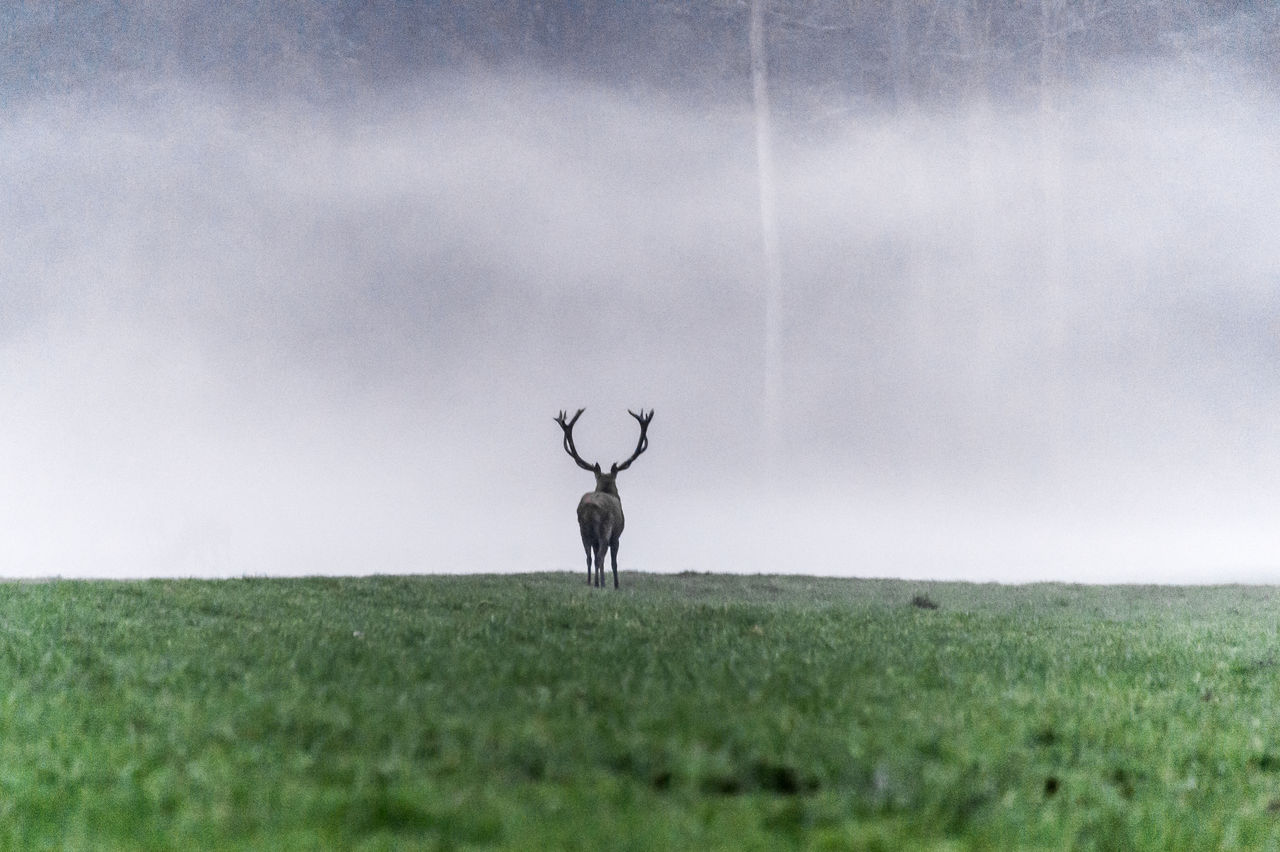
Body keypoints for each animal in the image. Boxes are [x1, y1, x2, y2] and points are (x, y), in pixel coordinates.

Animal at [552, 409, 655, 588]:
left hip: (583, 532)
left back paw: (590, 582)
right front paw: (615, 585)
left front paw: (600, 582)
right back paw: (600, 584)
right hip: (605, 529)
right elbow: (613, 562)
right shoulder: (617, 536)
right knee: (600, 557)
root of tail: (588, 508)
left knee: (589, 557)